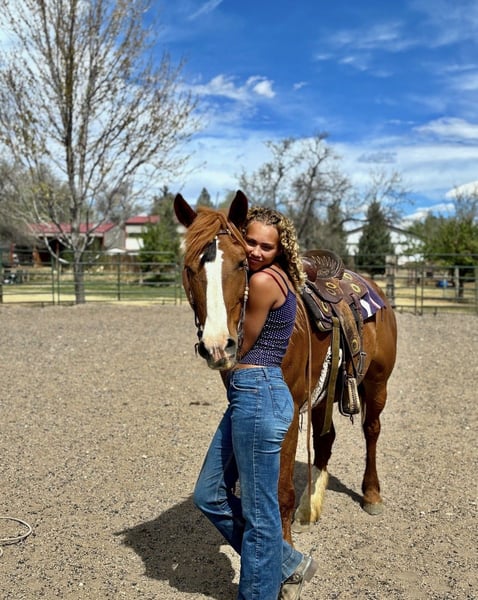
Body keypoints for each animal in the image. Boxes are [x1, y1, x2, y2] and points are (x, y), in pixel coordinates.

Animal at [174, 190, 397, 545]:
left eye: (241, 262)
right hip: (324, 393)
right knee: (326, 439)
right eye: (188, 267)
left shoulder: (289, 414)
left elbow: (281, 490)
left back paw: (371, 494)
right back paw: (310, 507)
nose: (218, 344)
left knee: (371, 429)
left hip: (377, 382)